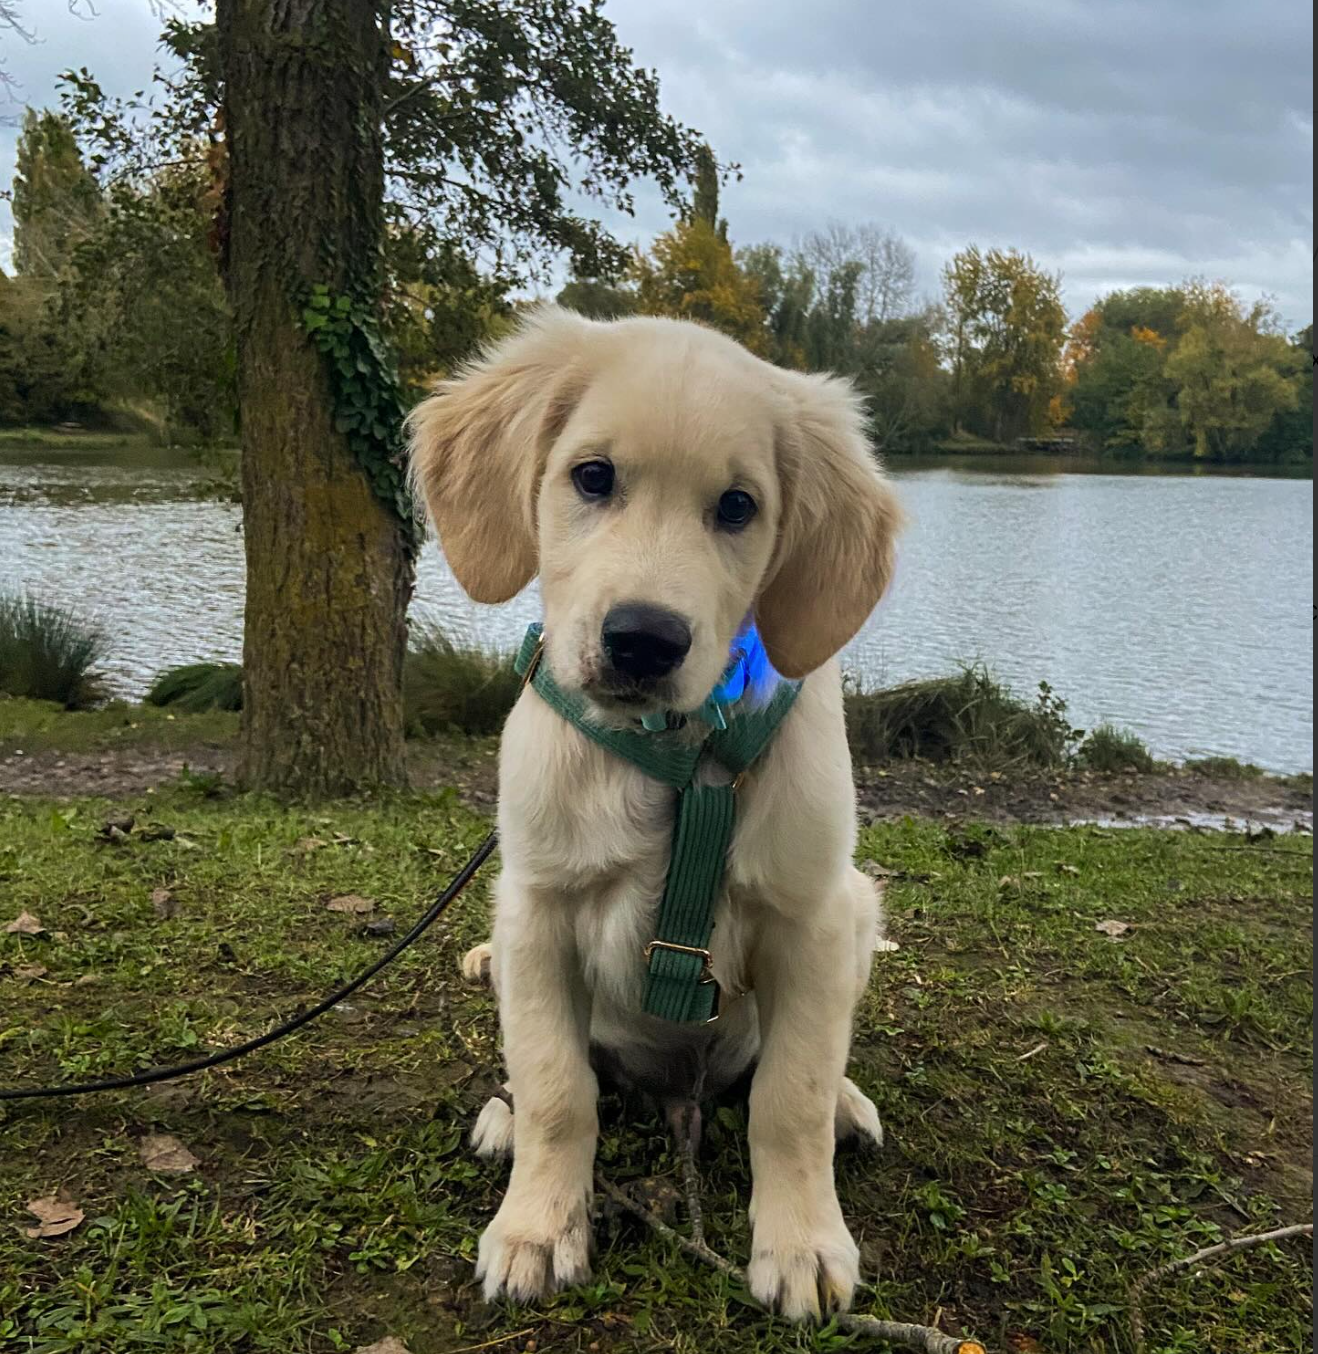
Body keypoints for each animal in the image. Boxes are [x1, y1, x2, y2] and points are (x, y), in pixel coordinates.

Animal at [409, 310, 904, 1321]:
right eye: (593, 476)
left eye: (739, 506)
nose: (643, 639)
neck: (681, 752)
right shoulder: (535, 911)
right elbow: (557, 1087)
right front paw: (537, 1228)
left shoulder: (812, 917)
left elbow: (788, 1097)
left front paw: (801, 1243)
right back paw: (504, 1119)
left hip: (860, 910)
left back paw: (846, 1105)